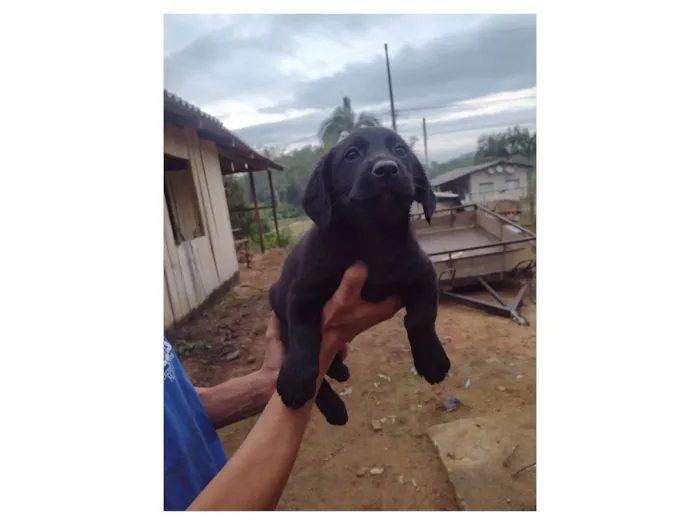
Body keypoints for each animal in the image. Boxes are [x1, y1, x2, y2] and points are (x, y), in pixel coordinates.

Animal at [268, 127, 448, 426]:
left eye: (400, 150)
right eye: (351, 155)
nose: (386, 168)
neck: (372, 238)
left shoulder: (424, 276)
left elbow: (420, 320)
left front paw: (433, 361)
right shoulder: (302, 296)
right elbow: (305, 338)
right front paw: (295, 379)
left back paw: (338, 369)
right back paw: (333, 407)